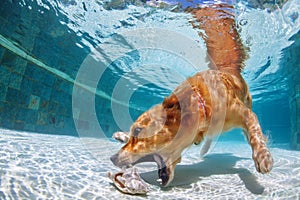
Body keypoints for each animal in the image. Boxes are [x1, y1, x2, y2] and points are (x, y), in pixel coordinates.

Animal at [110, 3, 274, 187]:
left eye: (138, 131)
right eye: (134, 131)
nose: (112, 158)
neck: (202, 104)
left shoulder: (243, 113)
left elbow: (254, 129)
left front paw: (263, 157)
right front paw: (122, 135)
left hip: (247, 101)